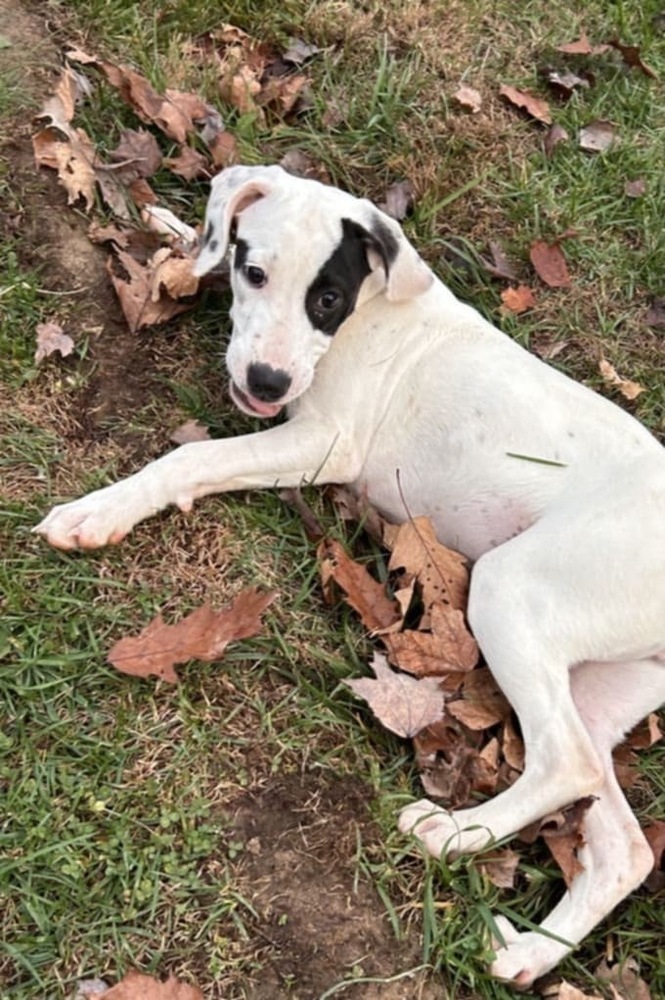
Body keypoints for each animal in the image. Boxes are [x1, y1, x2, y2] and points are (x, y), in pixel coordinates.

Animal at [35, 162, 664, 984]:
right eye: (256, 273)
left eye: (327, 300)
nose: (267, 382)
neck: (370, 316)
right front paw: (181, 231)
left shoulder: (323, 443)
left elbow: (191, 456)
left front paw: (99, 510)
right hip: (599, 681)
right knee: (622, 841)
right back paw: (526, 953)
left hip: (512, 586)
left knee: (567, 763)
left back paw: (448, 835)